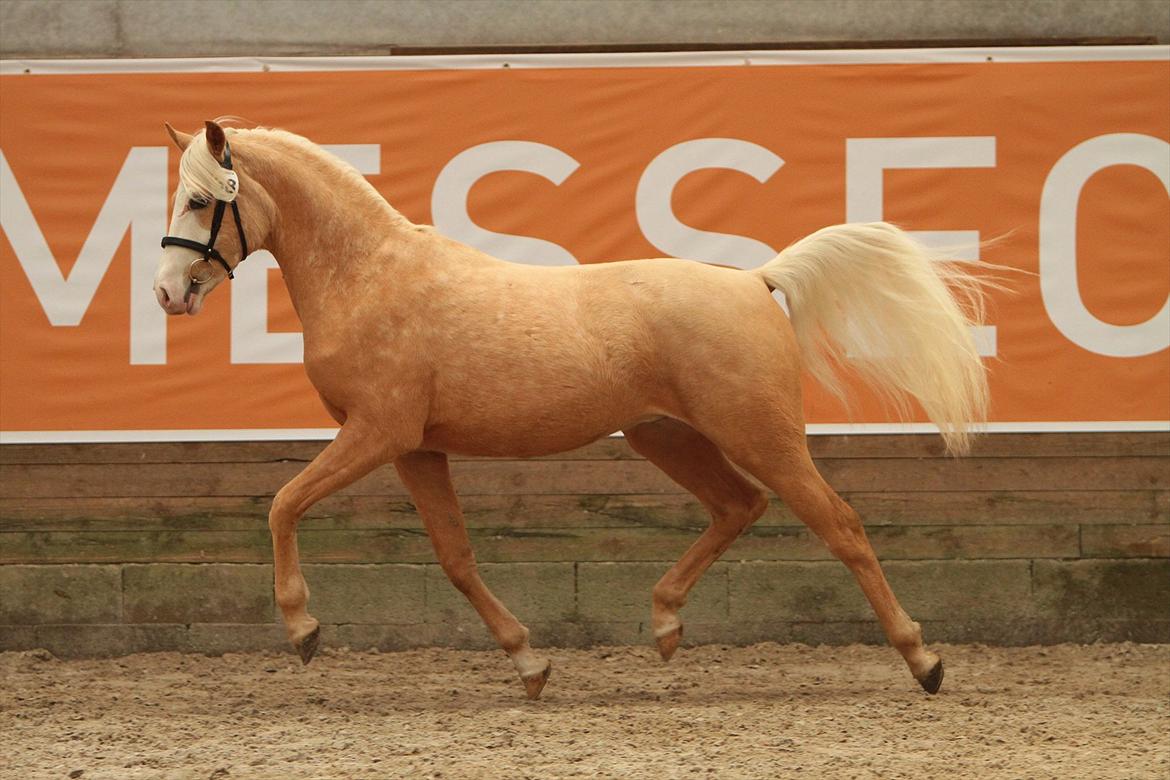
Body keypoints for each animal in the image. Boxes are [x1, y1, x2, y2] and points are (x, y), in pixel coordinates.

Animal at [155, 120, 992, 701]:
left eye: (198, 199)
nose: (167, 293)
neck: (369, 277)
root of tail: (755, 281)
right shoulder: (417, 448)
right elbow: (456, 557)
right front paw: (531, 665)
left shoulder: (376, 433)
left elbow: (283, 503)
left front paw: (303, 630)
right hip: (668, 437)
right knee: (738, 506)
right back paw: (665, 626)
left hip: (761, 435)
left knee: (840, 525)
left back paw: (925, 660)